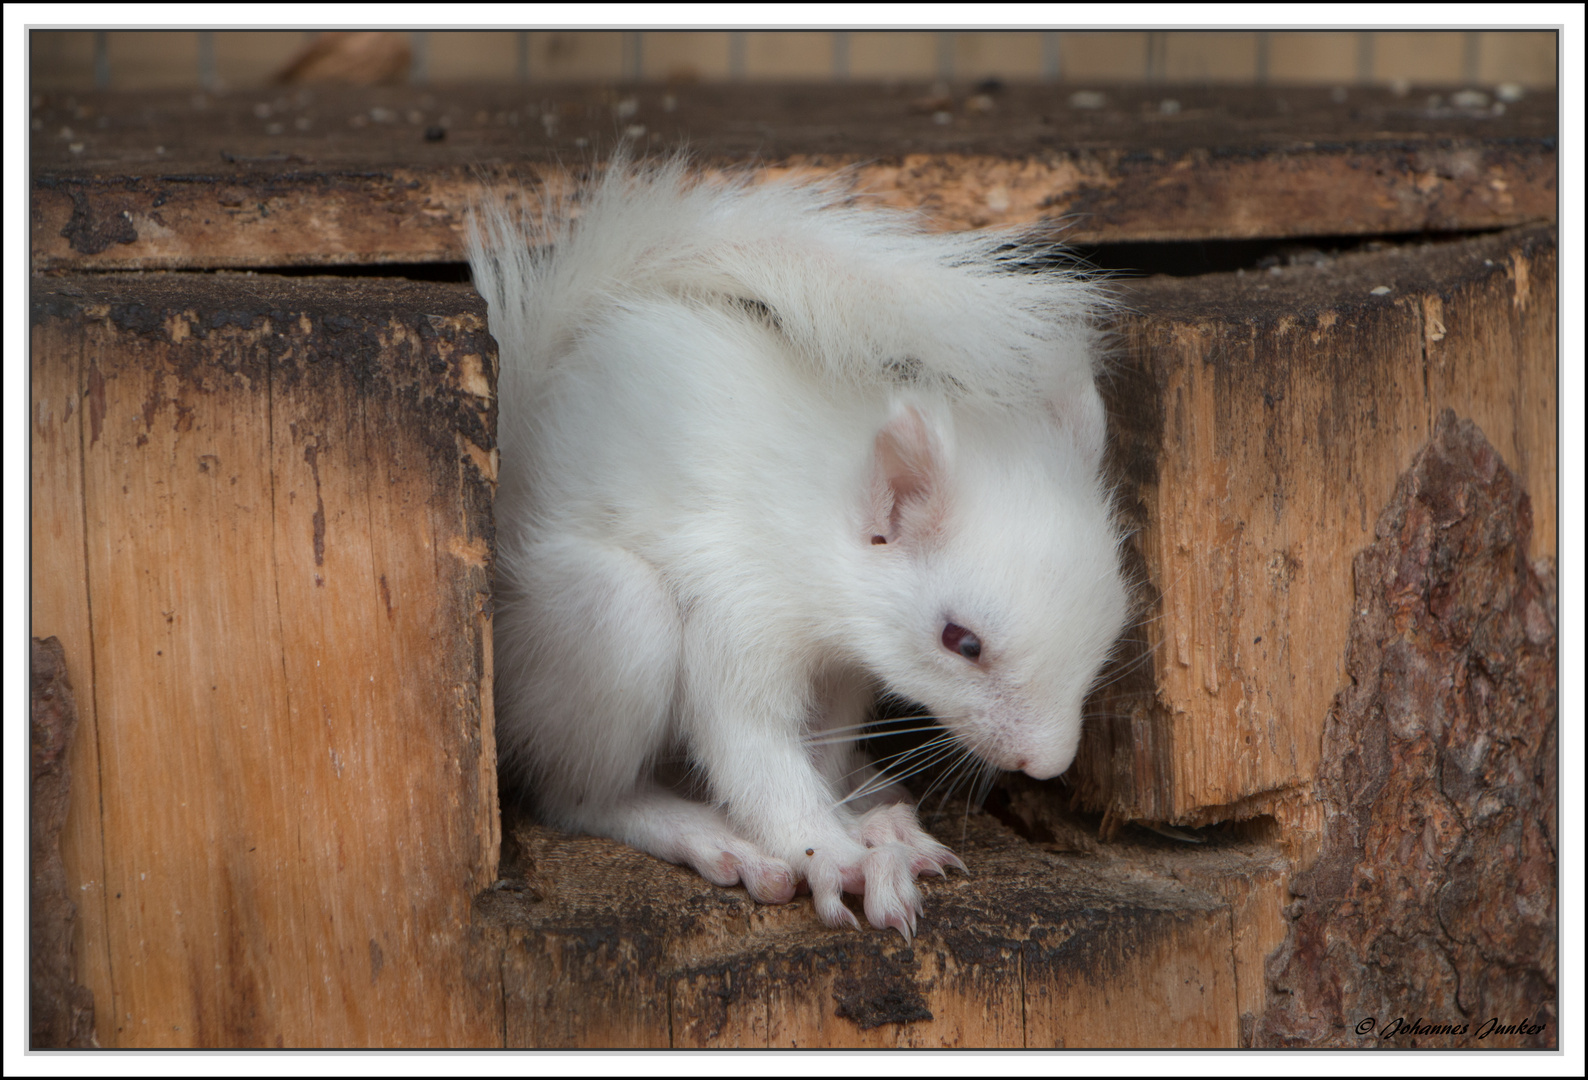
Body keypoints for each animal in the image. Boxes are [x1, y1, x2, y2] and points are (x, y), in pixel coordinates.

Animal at [463, 156, 1137, 940]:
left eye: (1111, 621)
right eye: (960, 641)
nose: (1046, 764)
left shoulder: (843, 674)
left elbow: (825, 743)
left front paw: (863, 824)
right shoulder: (738, 612)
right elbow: (753, 751)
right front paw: (839, 859)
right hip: (603, 621)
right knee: (576, 795)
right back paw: (699, 832)